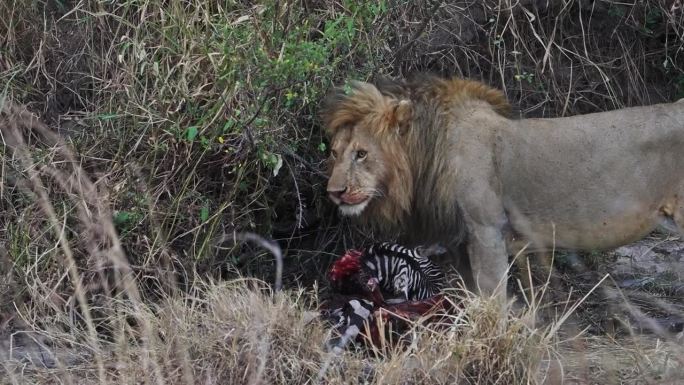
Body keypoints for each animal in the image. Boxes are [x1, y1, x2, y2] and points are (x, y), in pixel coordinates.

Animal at [324, 74, 684, 296]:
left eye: (361, 154)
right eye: (335, 153)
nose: (334, 193)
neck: (425, 154)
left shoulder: (487, 230)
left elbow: (492, 296)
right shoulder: (461, 242)